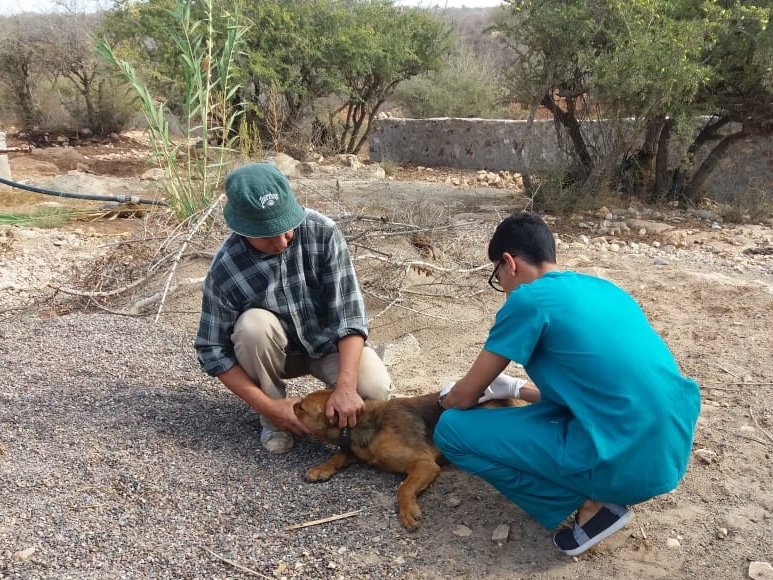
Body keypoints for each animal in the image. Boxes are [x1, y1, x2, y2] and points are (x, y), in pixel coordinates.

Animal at [296, 390, 520, 532]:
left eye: (301, 408)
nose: (292, 403)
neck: (364, 422)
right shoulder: (358, 451)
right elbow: (340, 454)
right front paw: (321, 468)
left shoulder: (424, 464)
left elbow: (403, 488)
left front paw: (407, 512)